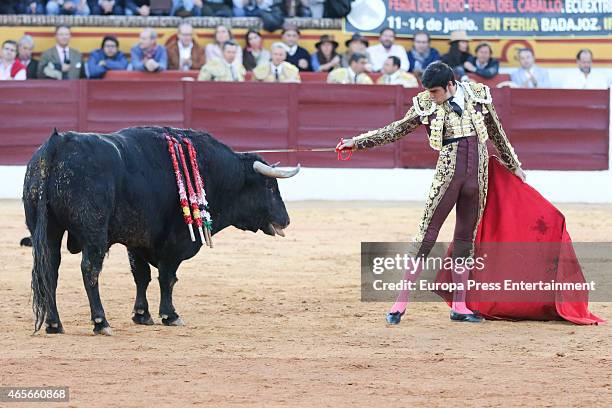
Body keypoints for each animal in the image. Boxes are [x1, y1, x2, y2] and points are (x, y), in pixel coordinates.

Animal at [22, 127, 300, 334]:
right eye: (269, 186)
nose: (285, 220)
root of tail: (58, 144)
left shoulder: (136, 240)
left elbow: (141, 276)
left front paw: (142, 314)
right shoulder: (175, 241)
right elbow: (167, 277)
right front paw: (170, 315)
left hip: (47, 230)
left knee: (50, 269)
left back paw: (54, 323)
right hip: (94, 234)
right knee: (89, 270)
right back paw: (101, 322)